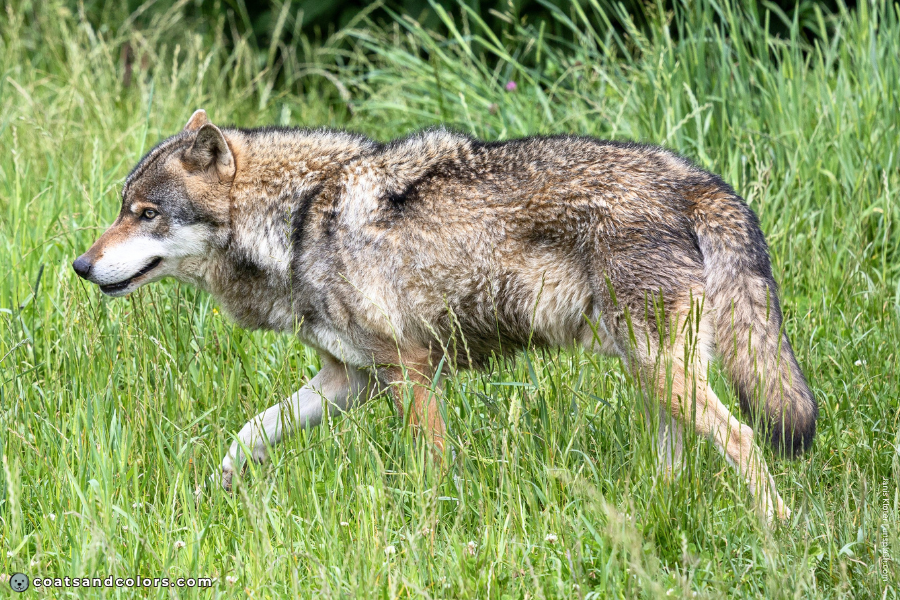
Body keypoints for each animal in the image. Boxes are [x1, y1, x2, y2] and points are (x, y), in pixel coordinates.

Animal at [73, 109, 816, 521]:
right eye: (121, 209)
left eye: (146, 214)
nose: (80, 266)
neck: (301, 220)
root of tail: (695, 180)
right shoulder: (347, 380)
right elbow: (248, 432)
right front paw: (216, 490)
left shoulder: (409, 371)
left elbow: (432, 467)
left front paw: (434, 530)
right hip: (654, 373)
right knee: (681, 457)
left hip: (663, 369)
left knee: (743, 439)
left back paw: (780, 531)